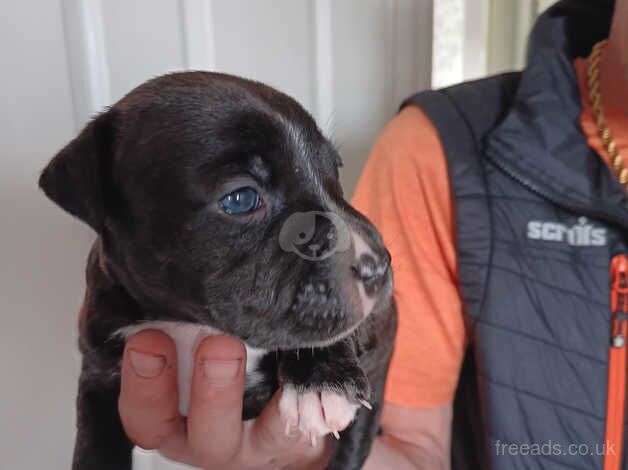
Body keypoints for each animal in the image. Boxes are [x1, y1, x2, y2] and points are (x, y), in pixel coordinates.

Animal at [38, 71, 398, 468]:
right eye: (240, 199)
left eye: (334, 171)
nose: (378, 264)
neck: (190, 325)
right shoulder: (99, 374)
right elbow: (94, 449)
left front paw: (322, 379)